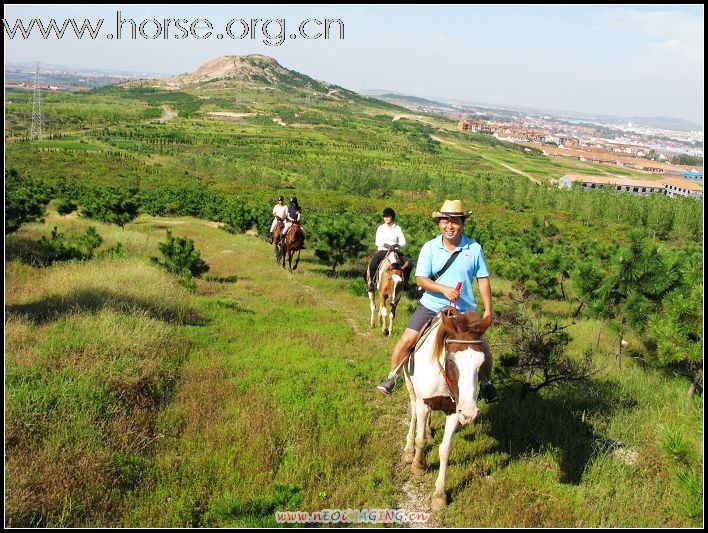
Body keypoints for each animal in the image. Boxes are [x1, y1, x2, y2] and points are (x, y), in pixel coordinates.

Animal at [404, 310, 486, 510]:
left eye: (482, 362)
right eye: (451, 359)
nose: (470, 413)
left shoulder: (454, 411)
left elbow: (445, 450)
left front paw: (440, 495)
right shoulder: (424, 404)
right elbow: (420, 440)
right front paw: (418, 465)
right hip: (411, 389)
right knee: (413, 414)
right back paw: (409, 450)